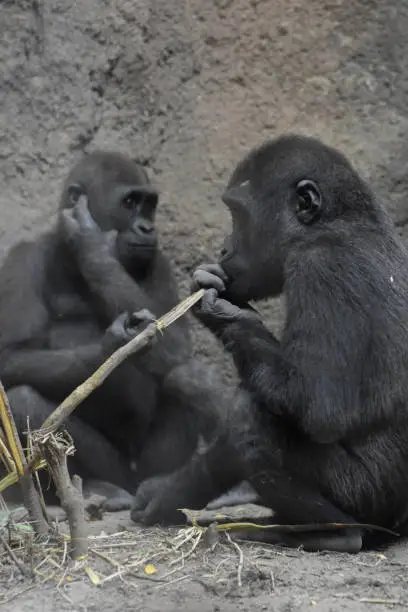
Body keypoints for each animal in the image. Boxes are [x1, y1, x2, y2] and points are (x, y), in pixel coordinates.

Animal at [0, 151, 225, 510]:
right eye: (130, 202)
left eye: (149, 205)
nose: (148, 227)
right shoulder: (22, 258)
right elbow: (10, 356)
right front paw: (111, 345)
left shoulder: (157, 261)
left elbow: (175, 342)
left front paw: (94, 251)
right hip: (117, 471)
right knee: (23, 399)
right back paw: (97, 487)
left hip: (147, 467)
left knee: (181, 372)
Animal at [129, 135, 408, 556]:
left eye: (238, 216)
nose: (224, 248)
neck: (339, 222)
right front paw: (172, 489)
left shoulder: (321, 267)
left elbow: (318, 404)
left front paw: (225, 312)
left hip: (371, 500)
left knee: (252, 422)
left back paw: (335, 532)